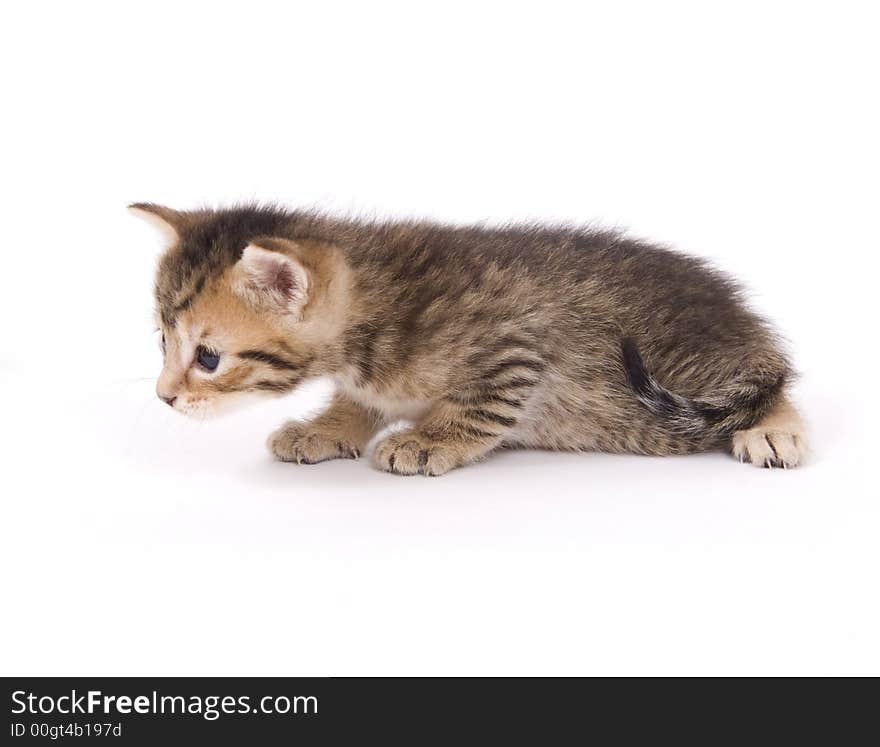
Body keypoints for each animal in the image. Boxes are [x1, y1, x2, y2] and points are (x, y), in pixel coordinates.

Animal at [129, 202, 804, 476]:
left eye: (208, 357)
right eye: (162, 343)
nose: (163, 397)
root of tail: (740, 313)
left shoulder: (516, 353)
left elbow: (479, 409)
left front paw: (426, 440)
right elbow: (359, 402)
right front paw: (327, 427)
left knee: (774, 386)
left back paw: (774, 430)